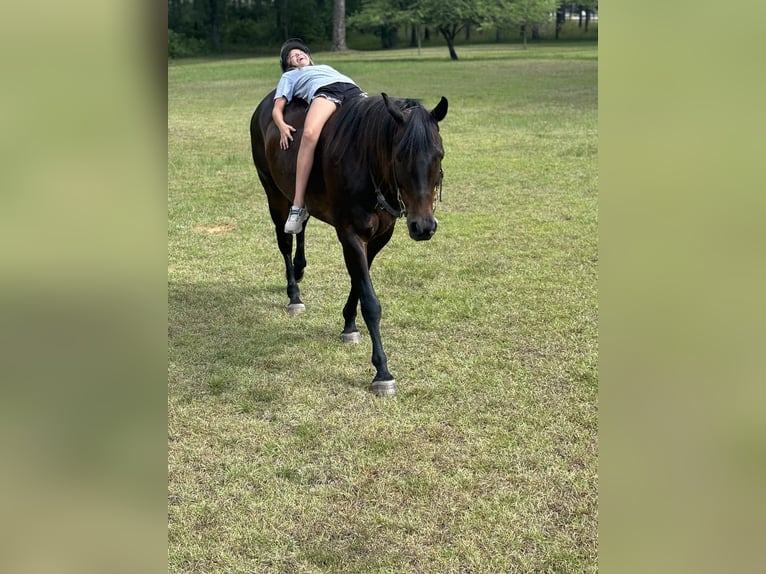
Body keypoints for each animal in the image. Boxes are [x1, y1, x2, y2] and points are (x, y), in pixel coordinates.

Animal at [250, 91, 448, 396]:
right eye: (400, 156)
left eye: (439, 155)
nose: (423, 226)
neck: (367, 159)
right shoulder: (350, 233)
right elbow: (370, 300)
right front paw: (382, 371)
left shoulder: (379, 236)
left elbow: (359, 279)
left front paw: (349, 325)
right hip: (273, 191)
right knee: (284, 241)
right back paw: (294, 293)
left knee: (301, 223)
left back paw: (300, 267)